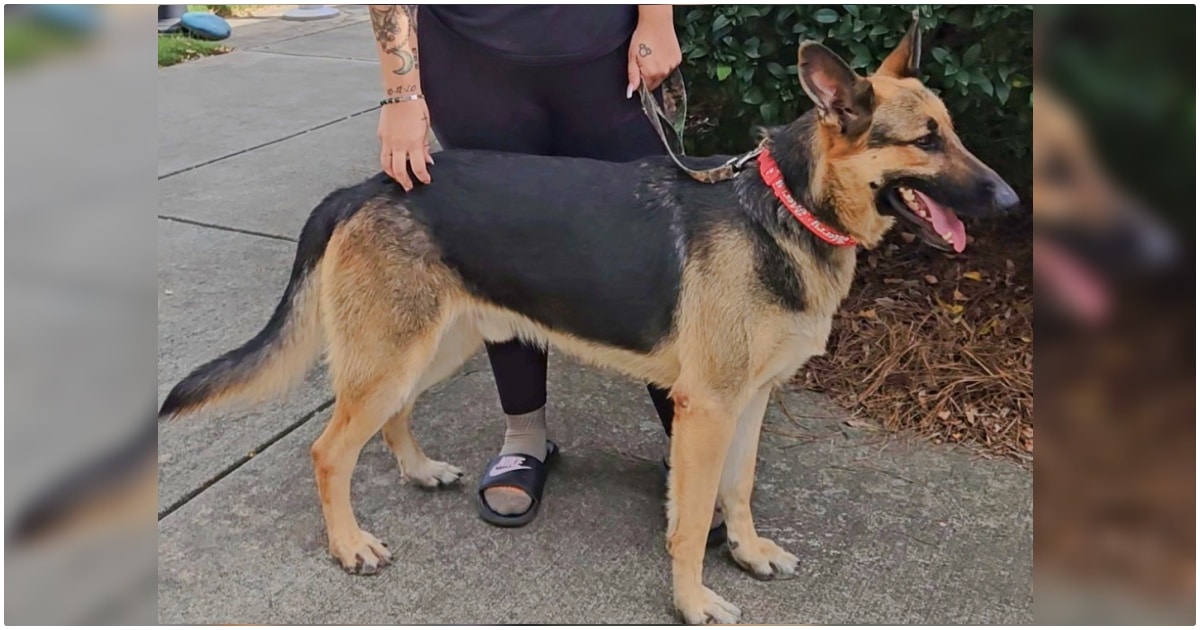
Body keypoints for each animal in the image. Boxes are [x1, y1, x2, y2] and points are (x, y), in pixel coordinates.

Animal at [154, 20, 1017, 624]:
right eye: (926, 141)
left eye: (954, 130)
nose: (1011, 201)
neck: (785, 206)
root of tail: (370, 184)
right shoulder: (708, 409)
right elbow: (691, 515)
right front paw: (692, 601)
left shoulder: (750, 404)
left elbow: (737, 491)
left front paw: (747, 553)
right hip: (396, 353)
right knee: (328, 451)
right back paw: (349, 546)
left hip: (435, 347)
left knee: (391, 417)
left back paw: (419, 470)